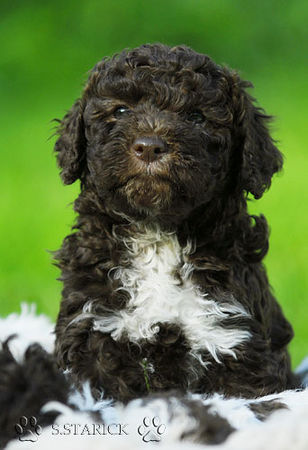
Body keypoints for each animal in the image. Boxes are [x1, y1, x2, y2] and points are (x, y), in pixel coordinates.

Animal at [53, 43, 298, 400]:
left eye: (196, 117)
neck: (158, 236)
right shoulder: (92, 329)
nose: (149, 147)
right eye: (121, 111)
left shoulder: (233, 337)